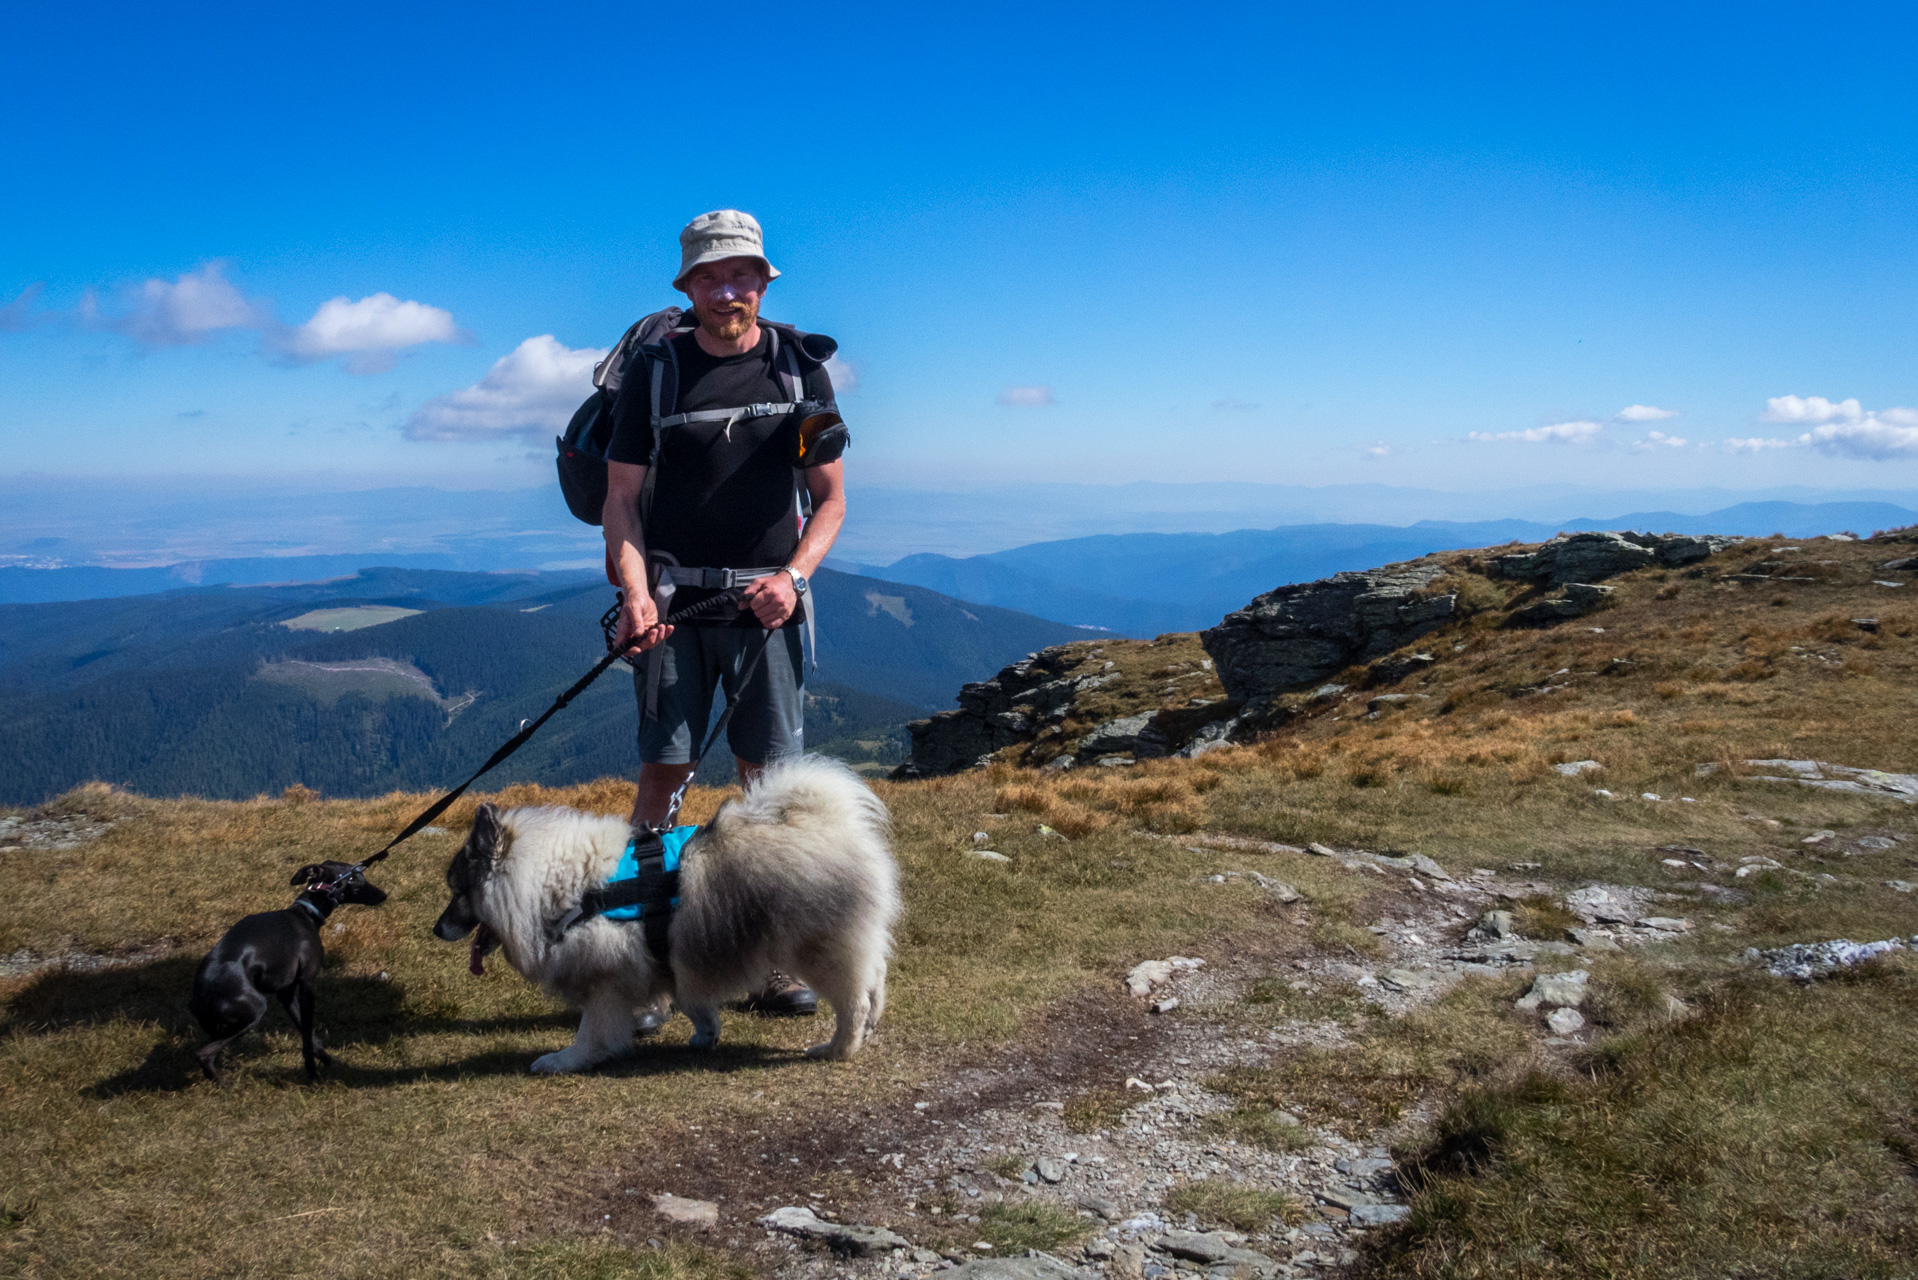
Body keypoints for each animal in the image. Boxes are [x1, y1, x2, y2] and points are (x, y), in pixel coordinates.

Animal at [439, 759, 901, 1074]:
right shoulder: (671, 961)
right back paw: (871, 1025)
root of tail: (830, 823)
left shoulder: (604, 982)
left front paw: (565, 1060)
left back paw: (838, 1048)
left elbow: (591, 1031)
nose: (436, 928)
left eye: (458, 892)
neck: (555, 882)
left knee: (854, 1000)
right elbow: (693, 1001)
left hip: (818, 949)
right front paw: (705, 1033)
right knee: (875, 978)